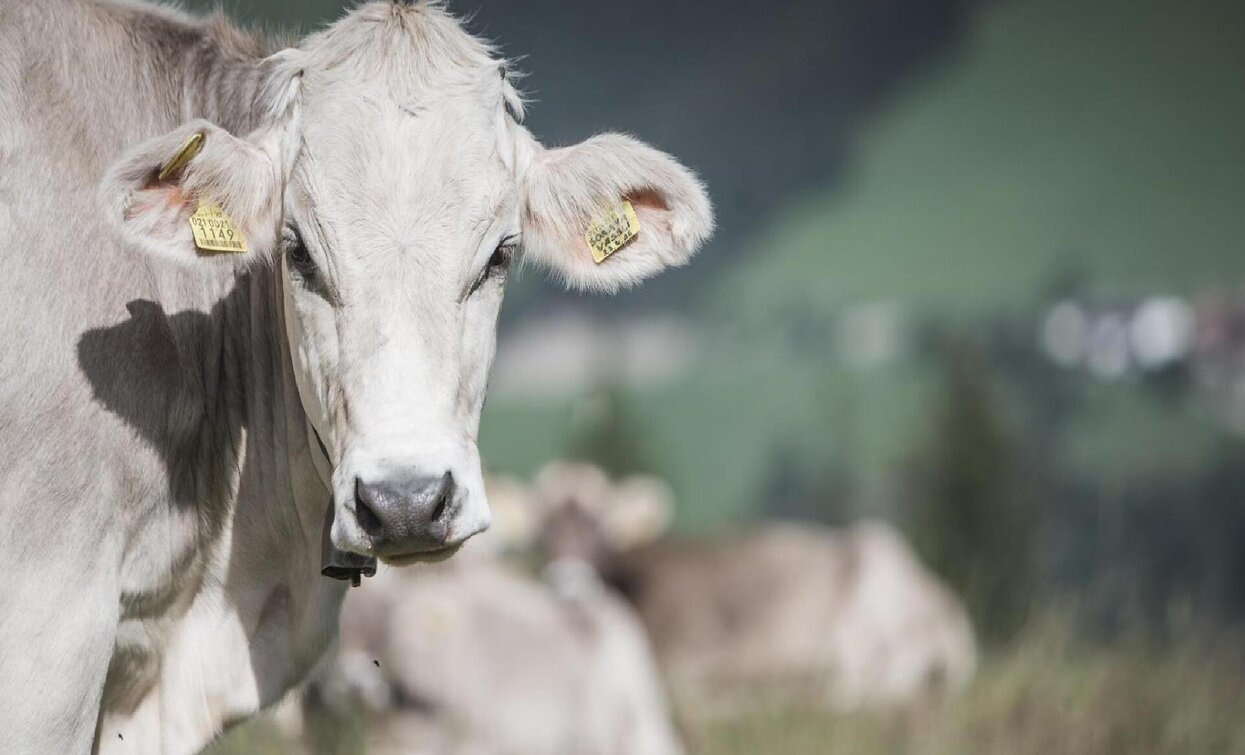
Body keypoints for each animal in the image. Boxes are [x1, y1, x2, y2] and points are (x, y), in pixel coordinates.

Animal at [525, 462, 977, 717]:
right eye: (542, 531)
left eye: (601, 527)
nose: (566, 581)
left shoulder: (692, 652)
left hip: (869, 608)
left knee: (862, 689)